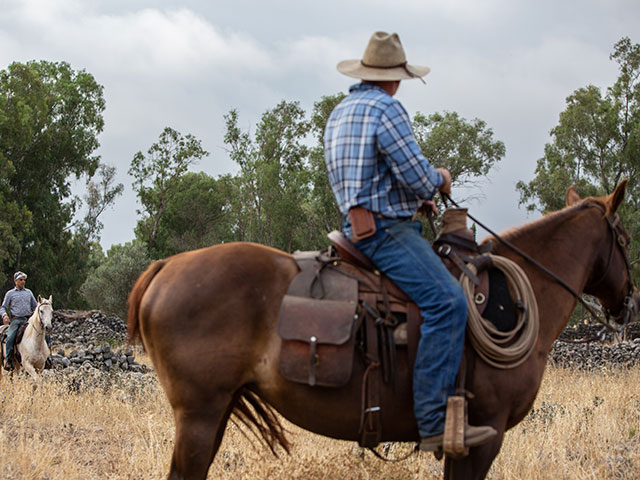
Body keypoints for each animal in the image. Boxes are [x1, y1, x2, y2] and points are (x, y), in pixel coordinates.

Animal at [127, 181, 636, 480]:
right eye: (626, 239)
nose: (629, 301)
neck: (513, 294)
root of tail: (166, 266)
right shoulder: (484, 434)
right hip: (199, 414)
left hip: (214, 410)